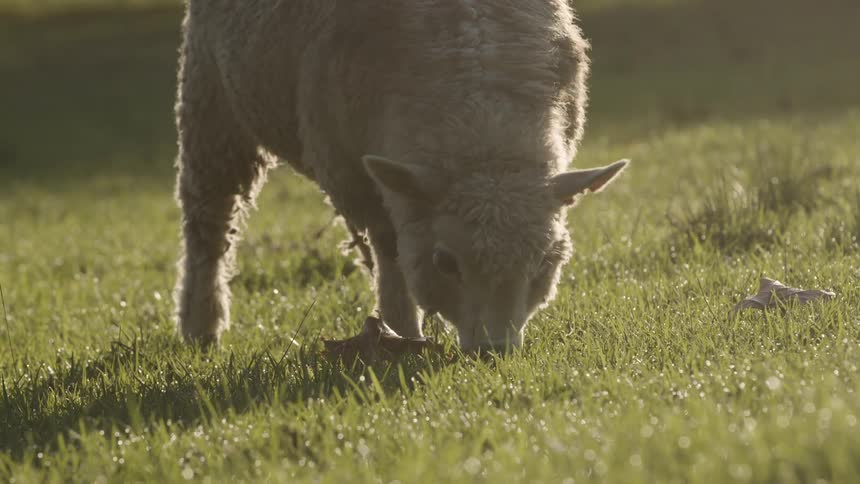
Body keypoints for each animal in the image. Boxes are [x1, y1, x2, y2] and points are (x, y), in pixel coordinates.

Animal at [173, 0, 628, 351]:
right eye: (445, 262)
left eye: (545, 262)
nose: (493, 349)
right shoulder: (357, 177)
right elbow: (389, 253)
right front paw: (402, 333)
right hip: (210, 105)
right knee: (208, 224)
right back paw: (200, 324)